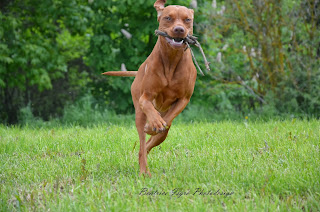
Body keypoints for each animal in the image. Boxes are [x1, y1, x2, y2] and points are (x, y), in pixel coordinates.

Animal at [102, 0, 198, 176]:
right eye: (168, 18)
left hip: (163, 131)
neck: (171, 59)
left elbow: (167, 120)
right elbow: (146, 104)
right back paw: (143, 171)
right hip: (138, 114)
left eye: (187, 20)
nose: (179, 30)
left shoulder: (184, 99)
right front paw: (154, 122)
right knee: (141, 142)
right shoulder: (145, 96)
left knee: (149, 144)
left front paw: (156, 125)